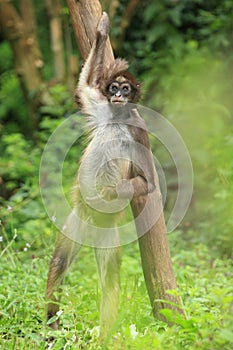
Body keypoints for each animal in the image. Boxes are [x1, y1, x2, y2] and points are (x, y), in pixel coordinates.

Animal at [45, 13, 156, 336]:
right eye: (114, 88)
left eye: (126, 89)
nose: (118, 95)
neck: (117, 119)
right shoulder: (100, 107)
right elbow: (83, 88)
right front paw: (103, 30)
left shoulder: (139, 128)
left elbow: (148, 183)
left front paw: (111, 191)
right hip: (78, 220)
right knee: (60, 262)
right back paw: (51, 325)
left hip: (107, 234)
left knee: (109, 282)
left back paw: (104, 336)